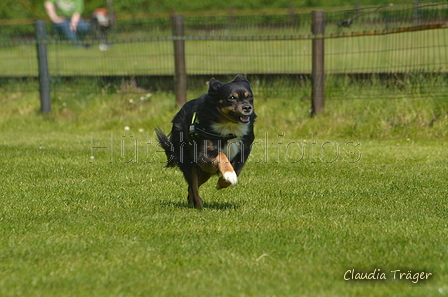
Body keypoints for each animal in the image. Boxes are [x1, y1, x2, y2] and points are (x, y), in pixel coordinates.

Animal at [157, 74, 256, 208]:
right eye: (231, 98)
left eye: (250, 97)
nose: (247, 108)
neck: (229, 125)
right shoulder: (202, 155)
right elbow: (221, 154)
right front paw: (229, 175)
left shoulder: (245, 148)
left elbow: (238, 168)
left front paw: (223, 181)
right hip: (190, 163)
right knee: (193, 185)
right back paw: (199, 206)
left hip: (205, 172)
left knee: (192, 187)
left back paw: (194, 203)